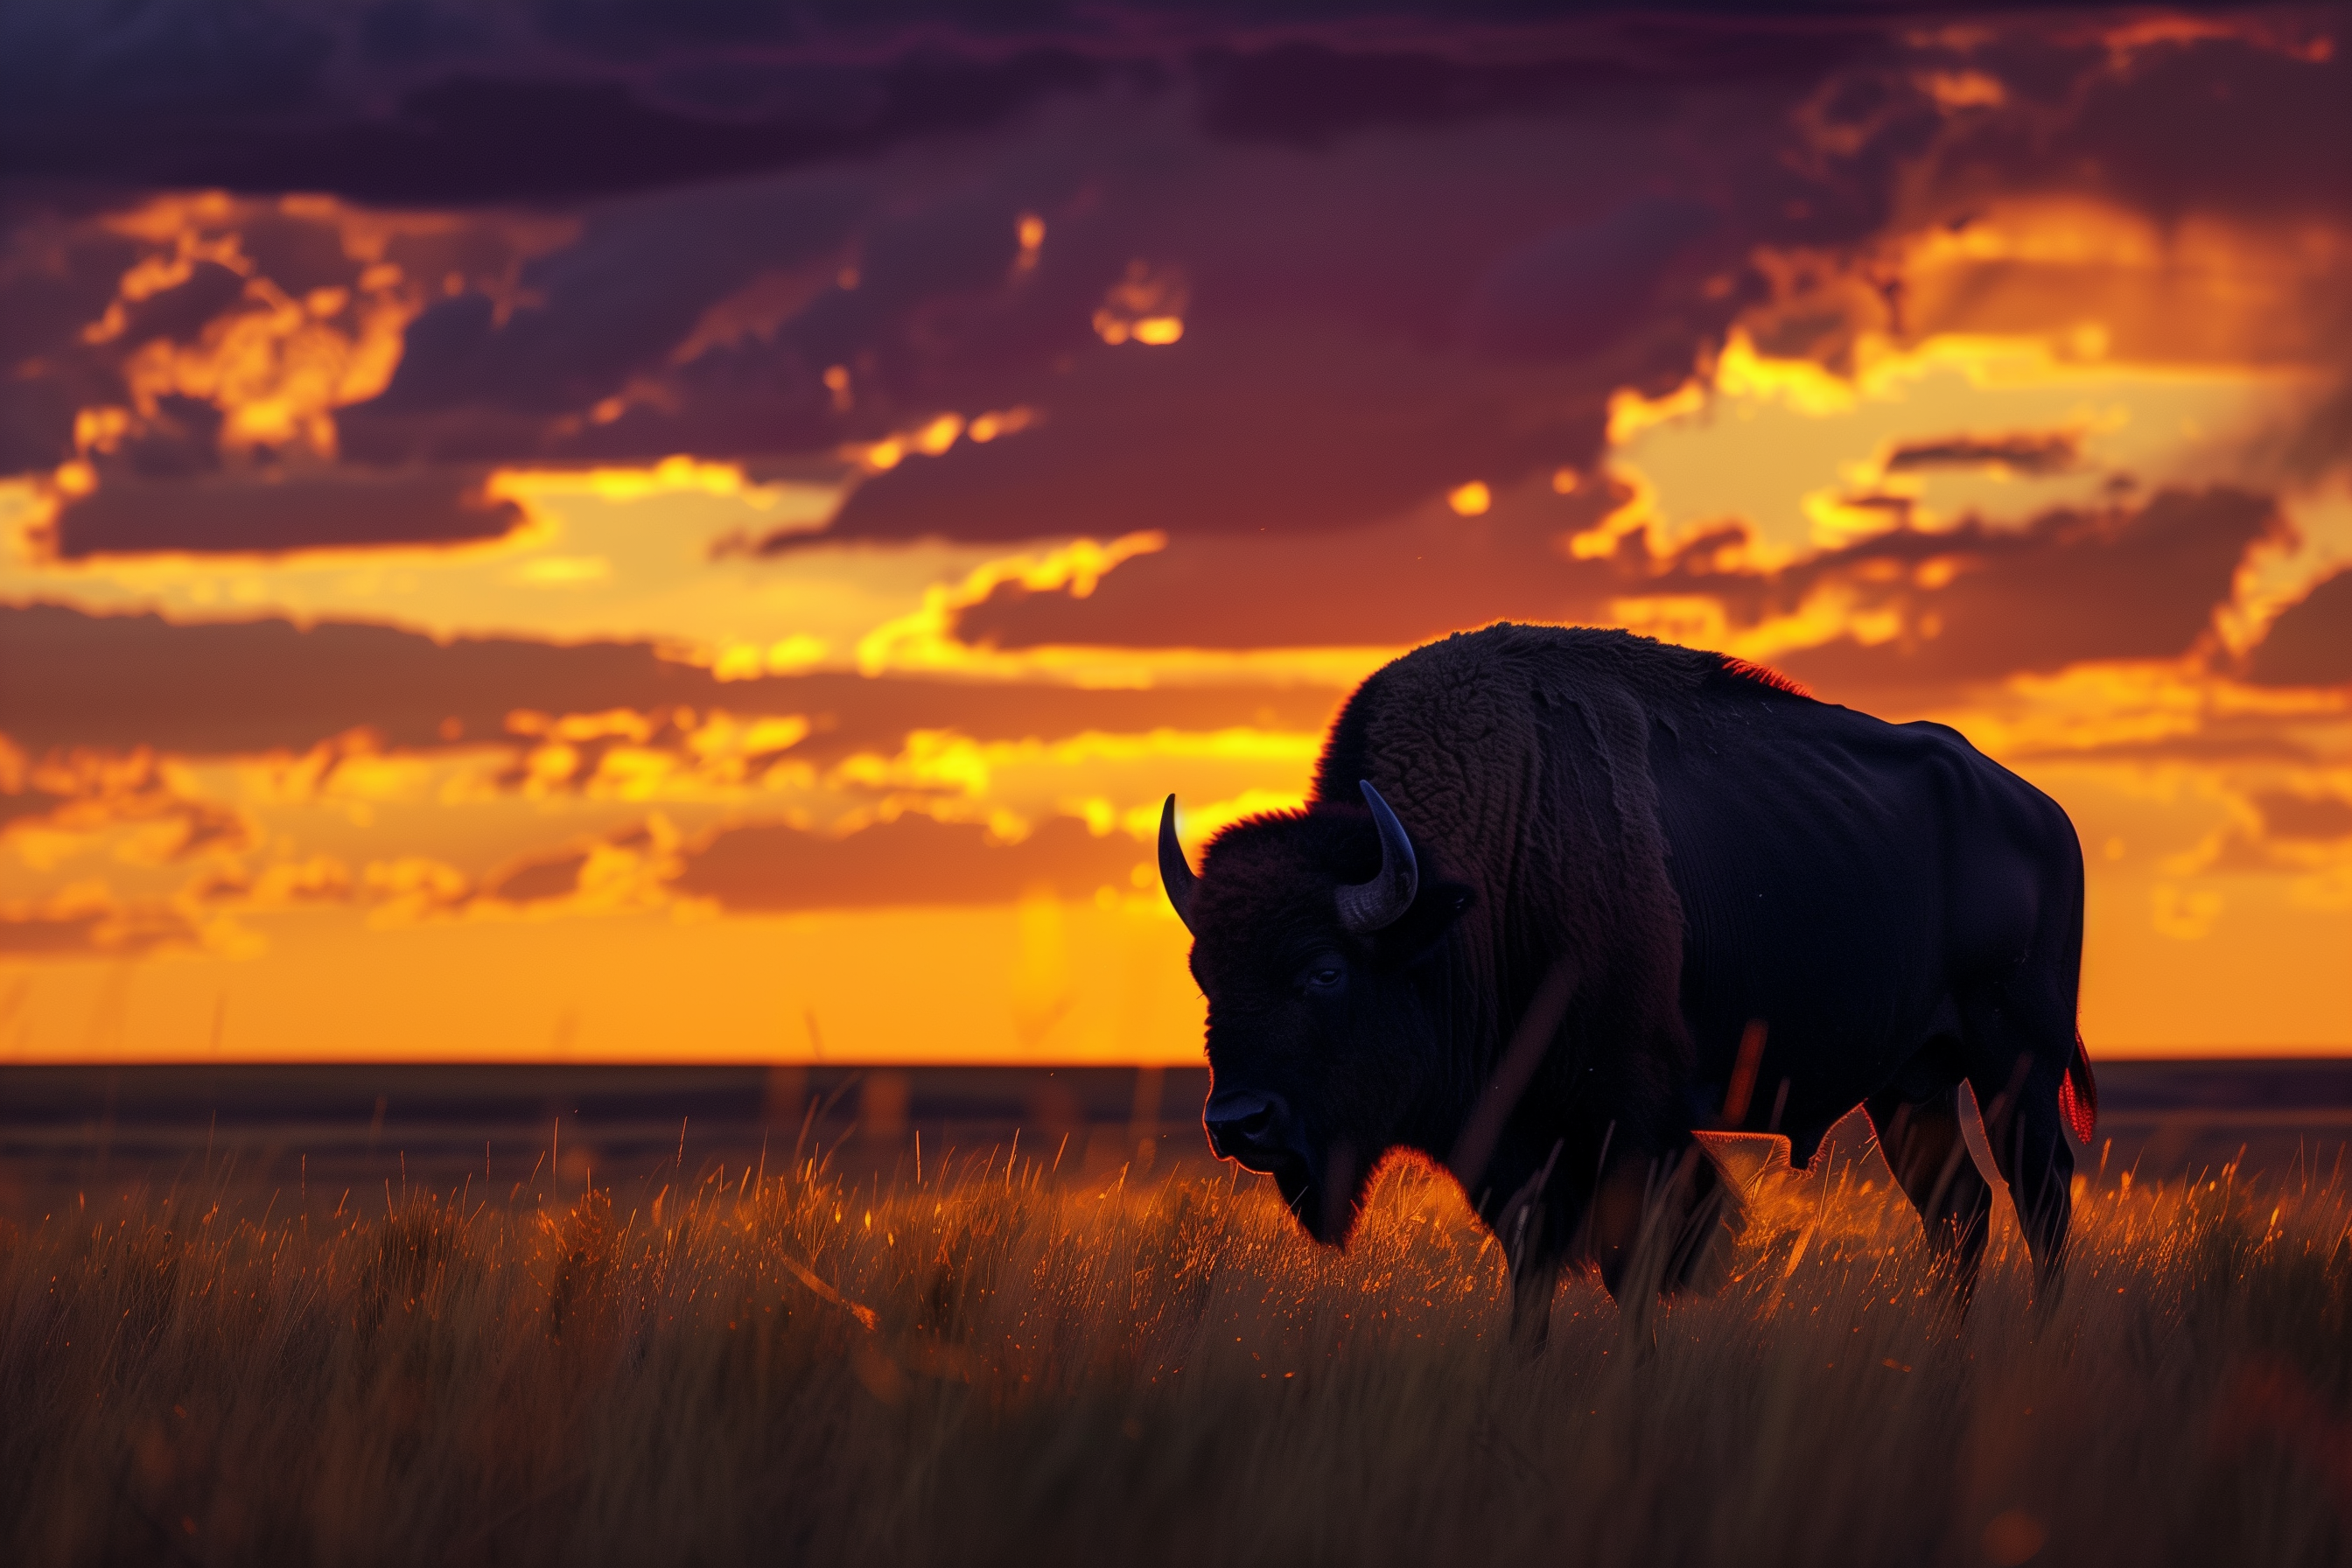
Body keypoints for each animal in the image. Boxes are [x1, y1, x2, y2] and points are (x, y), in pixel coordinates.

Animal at [1160, 624, 2094, 1335]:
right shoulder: (1522, 1148)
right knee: (1960, 1212)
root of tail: (2043, 812)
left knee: (2040, 1201)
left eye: (1324, 970)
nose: (1236, 1121)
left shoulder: (1632, 1127)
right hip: (1909, 1087)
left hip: (2016, 1064)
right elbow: (1533, 1269)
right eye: (1204, 973)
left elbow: (1634, 1272)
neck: (1469, 891)